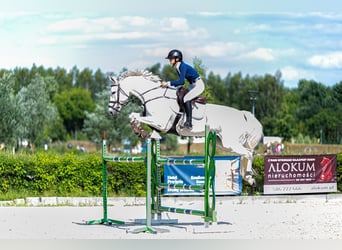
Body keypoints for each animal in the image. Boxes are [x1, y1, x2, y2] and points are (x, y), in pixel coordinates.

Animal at [108, 69, 264, 185]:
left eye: (113, 92)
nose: (110, 112)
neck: (154, 96)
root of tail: (243, 115)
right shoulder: (155, 121)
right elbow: (135, 116)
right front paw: (141, 132)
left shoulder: (161, 123)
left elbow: (134, 116)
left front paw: (140, 132)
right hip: (223, 143)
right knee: (246, 153)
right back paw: (248, 177)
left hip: (229, 142)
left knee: (248, 153)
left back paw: (248, 177)